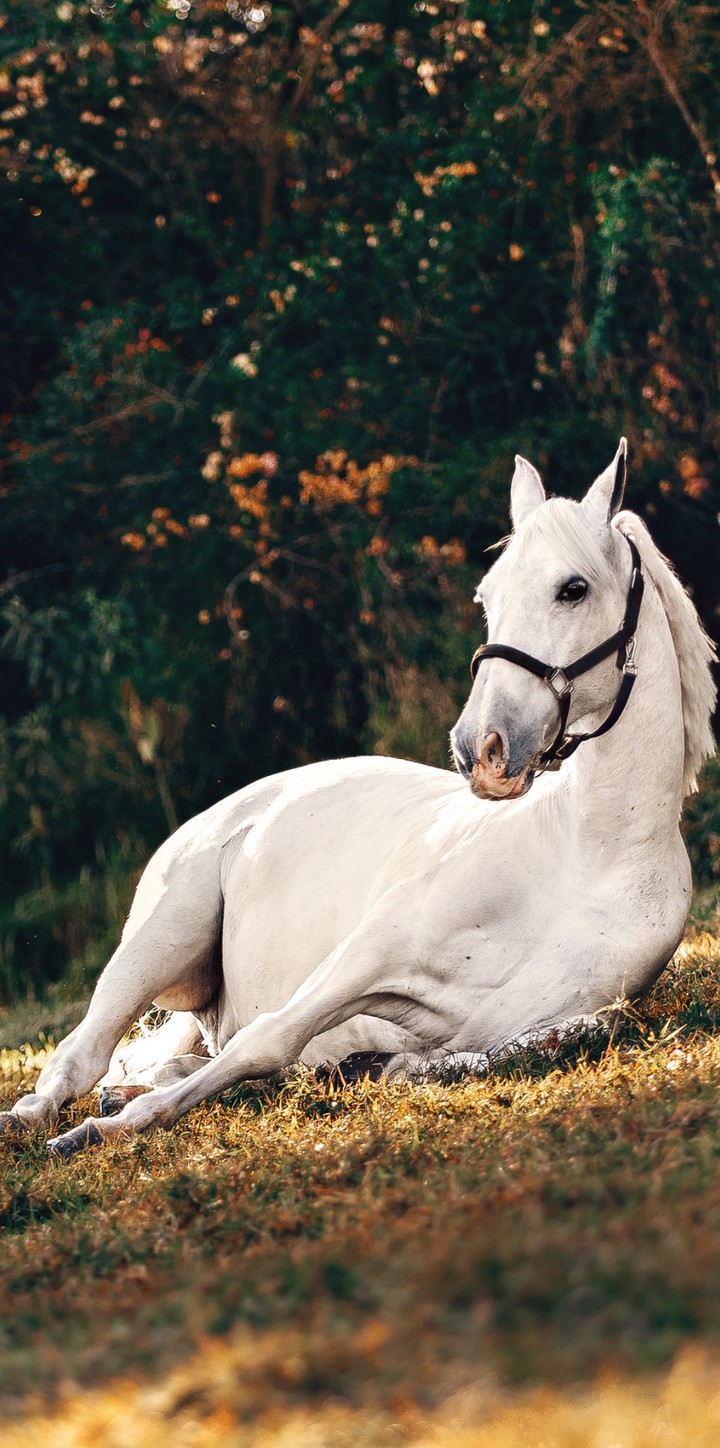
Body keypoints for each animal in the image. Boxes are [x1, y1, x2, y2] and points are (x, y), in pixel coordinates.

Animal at [1, 440, 715, 1158]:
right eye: (488, 595)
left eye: (573, 589)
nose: (479, 748)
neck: (588, 855)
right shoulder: (370, 953)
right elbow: (267, 1039)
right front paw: (114, 1128)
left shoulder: (549, 1020)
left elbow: (507, 1048)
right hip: (160, 940)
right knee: (82, 1055)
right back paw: (41, 1117)